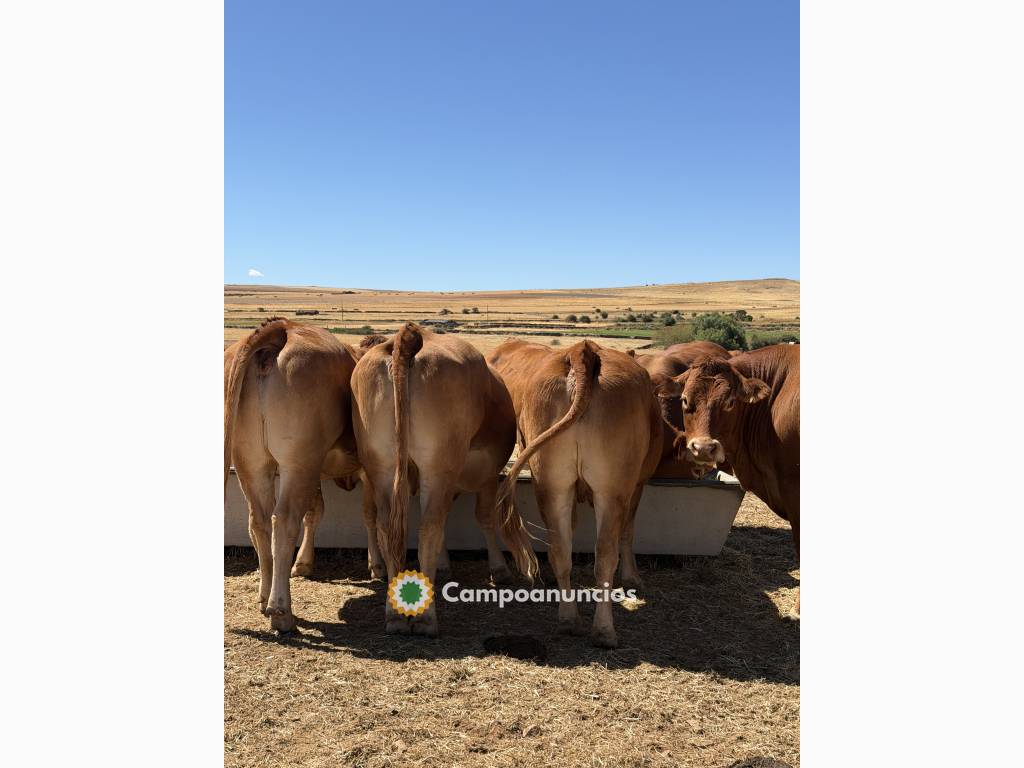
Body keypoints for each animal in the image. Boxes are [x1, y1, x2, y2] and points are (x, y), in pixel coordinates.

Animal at [224, 318, 363, 632]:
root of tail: (283, 327)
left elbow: (315, 510)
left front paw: (303, 563)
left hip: (252, 462)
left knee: (260, 521)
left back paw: (264, 598)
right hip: (298, 462)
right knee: (285, 520)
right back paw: (281, 612)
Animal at [350, 323, 538, 637]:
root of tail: (408, 337)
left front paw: (444, 563)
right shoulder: (487, 476)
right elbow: (485, 518)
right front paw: (499, 569)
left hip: (382, 467)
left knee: (389, 528)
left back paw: (394, 614)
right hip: (437, 468)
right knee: (429, 528)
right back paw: (425, 618)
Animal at [489, 339, 663, 648]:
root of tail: (583, 351)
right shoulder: (637, 485)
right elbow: (628, 532)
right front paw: (632, 578)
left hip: (551, 483)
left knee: (560, 550)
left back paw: (569, 620)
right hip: (612, 489)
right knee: (604, 555)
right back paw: (604, 631)